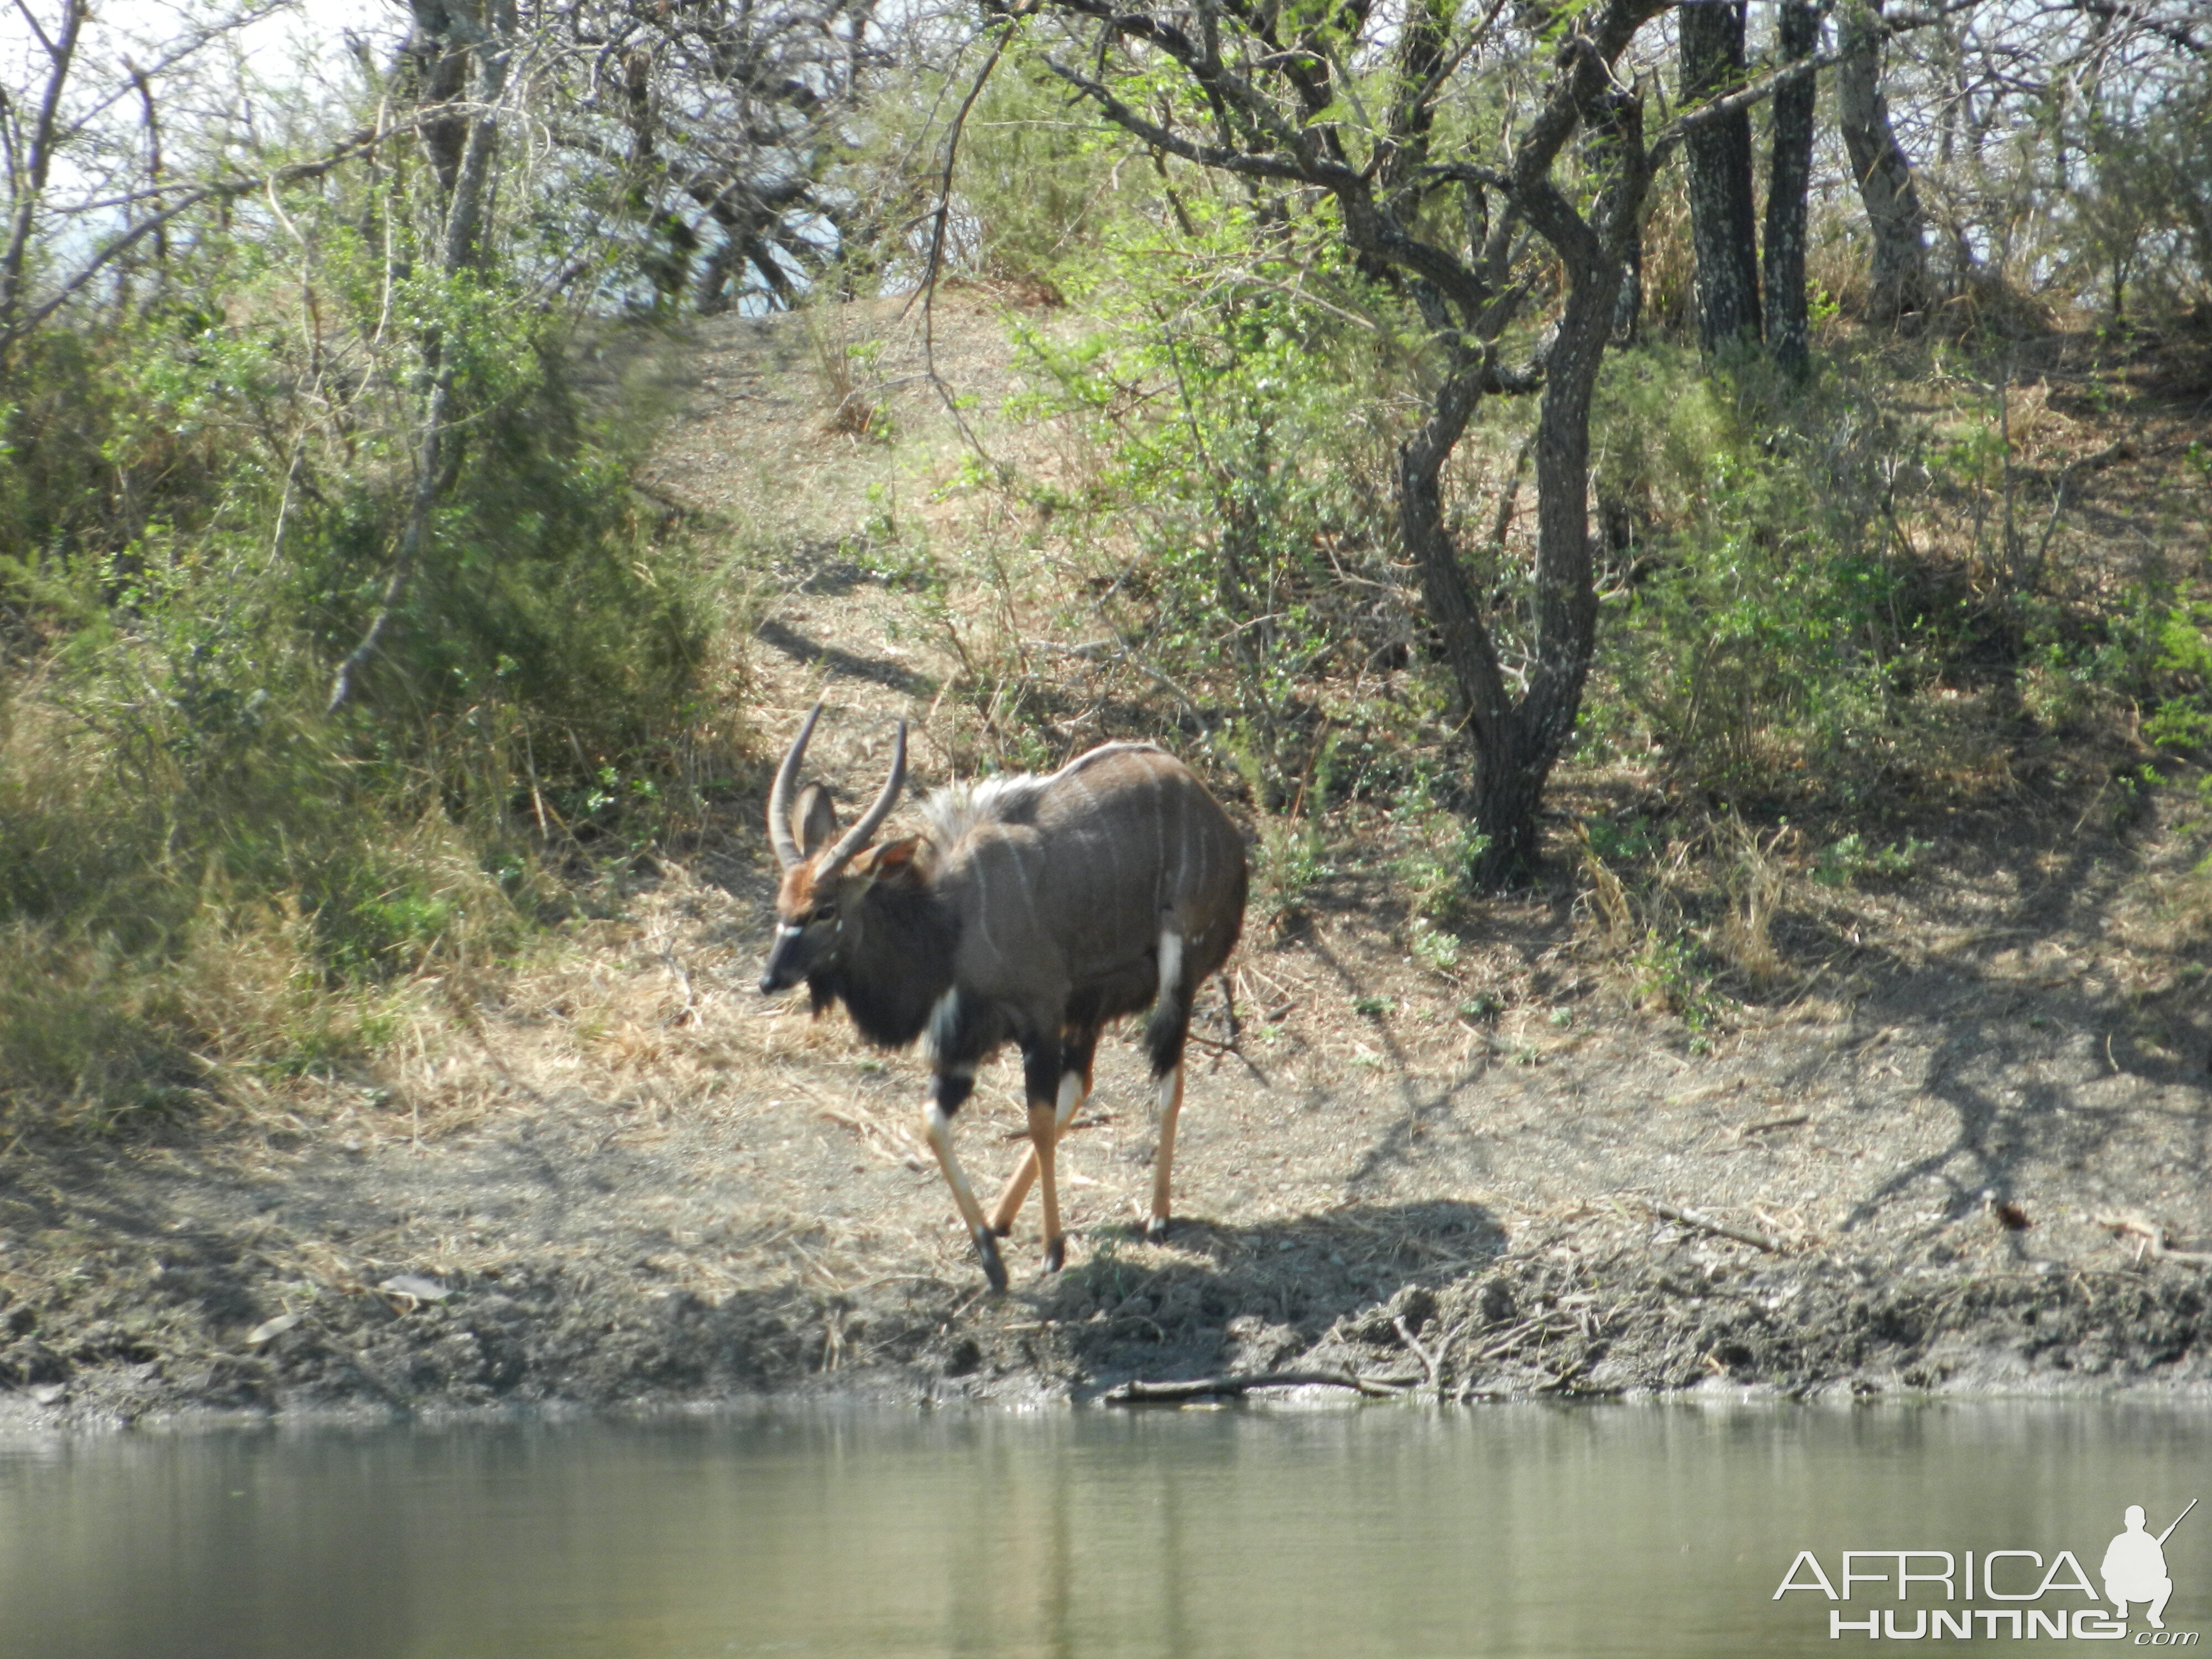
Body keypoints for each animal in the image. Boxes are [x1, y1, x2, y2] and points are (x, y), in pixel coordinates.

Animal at [757, 708, 1248, 1292]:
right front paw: (990, 1253)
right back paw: (1002, 1218)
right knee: (1082, 1084)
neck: (948, 922)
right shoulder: (968, 1039)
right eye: (782, 903)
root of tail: (1220, 822)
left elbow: (1036, 1119)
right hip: (1092, 1006)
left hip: (1178, 974)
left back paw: (1158, 1216)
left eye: (825, 909)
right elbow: (933, 1119)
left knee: (1168, 1078)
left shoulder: (1040, 1015)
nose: (770, 979)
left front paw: (1053, 1249)